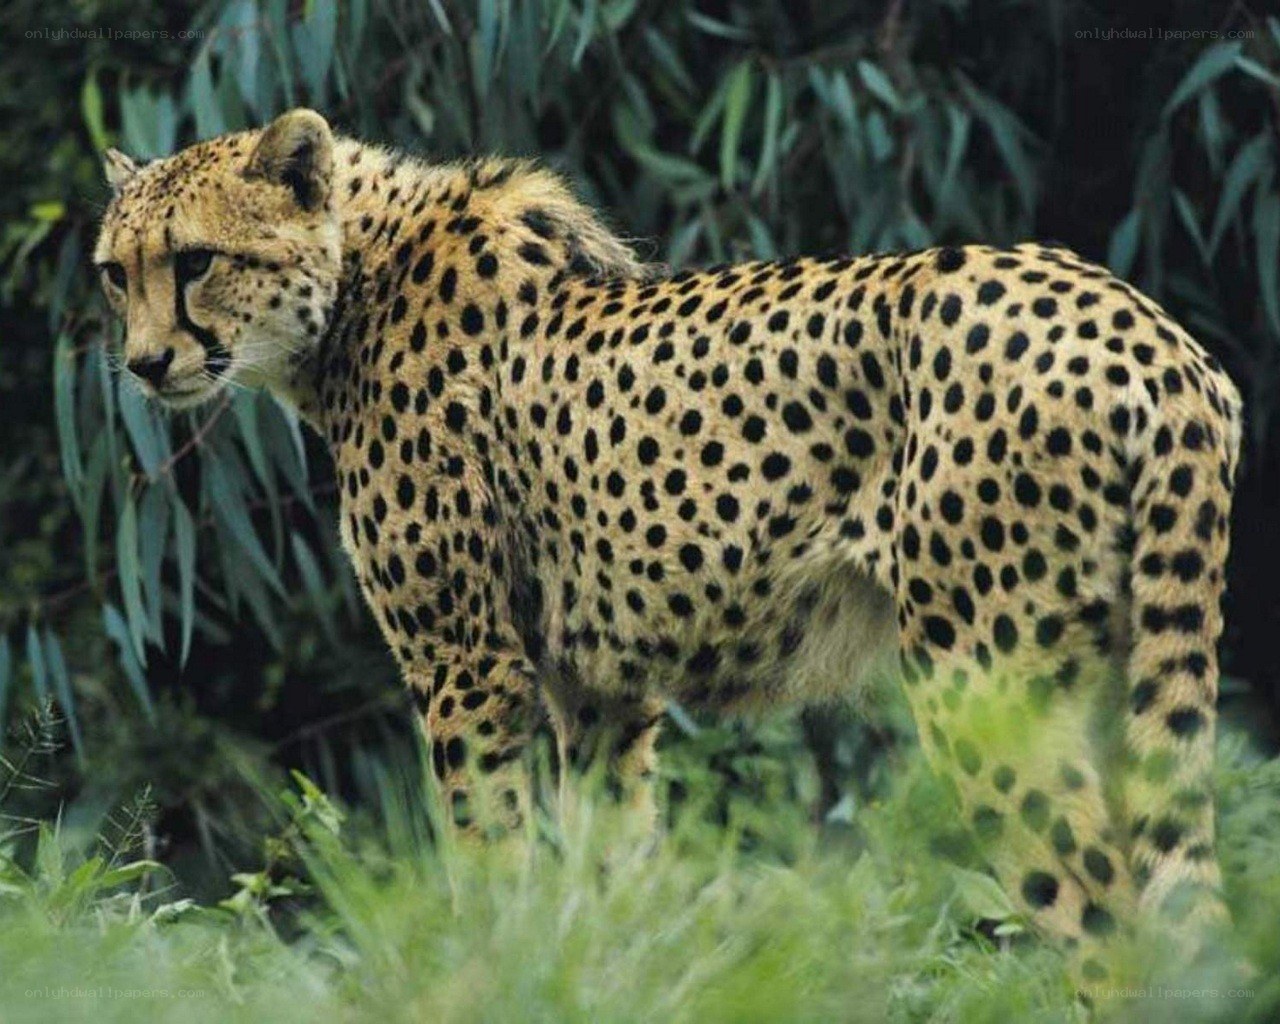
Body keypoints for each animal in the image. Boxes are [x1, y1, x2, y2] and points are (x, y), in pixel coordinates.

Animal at [94, 108, 1243, 981]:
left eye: (195, 261)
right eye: (115, 273)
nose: (145, 366)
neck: (352, 284)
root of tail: (1147, 330)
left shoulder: (467, 665)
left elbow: (487, 855)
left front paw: (484, 968)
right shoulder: (600, 686)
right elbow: (606, 865)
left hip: (988, 684)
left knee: (1108, 927)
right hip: (1118, 669)